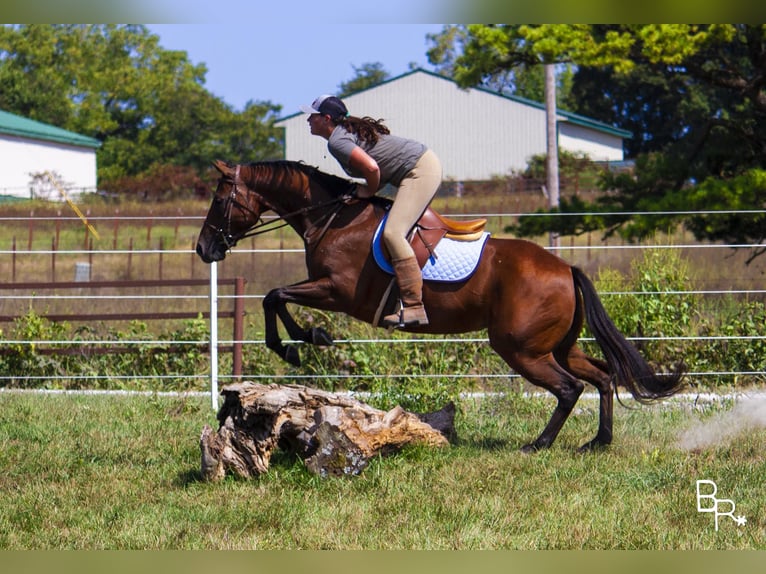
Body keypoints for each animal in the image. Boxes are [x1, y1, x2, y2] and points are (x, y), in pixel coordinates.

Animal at [196, 161, 684, 454]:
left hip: (520, 348)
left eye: (219, 200)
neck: (332, 218)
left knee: (569, 388)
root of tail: (565, 267)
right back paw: (598, 442)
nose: (203, 249)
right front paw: (303, 340)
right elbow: (275, 296)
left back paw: (538, 444)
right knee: (602, 376)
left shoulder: (337, 291)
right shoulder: (328, 290)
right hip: (555, 345)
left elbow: (274, 296)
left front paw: (300, 342)